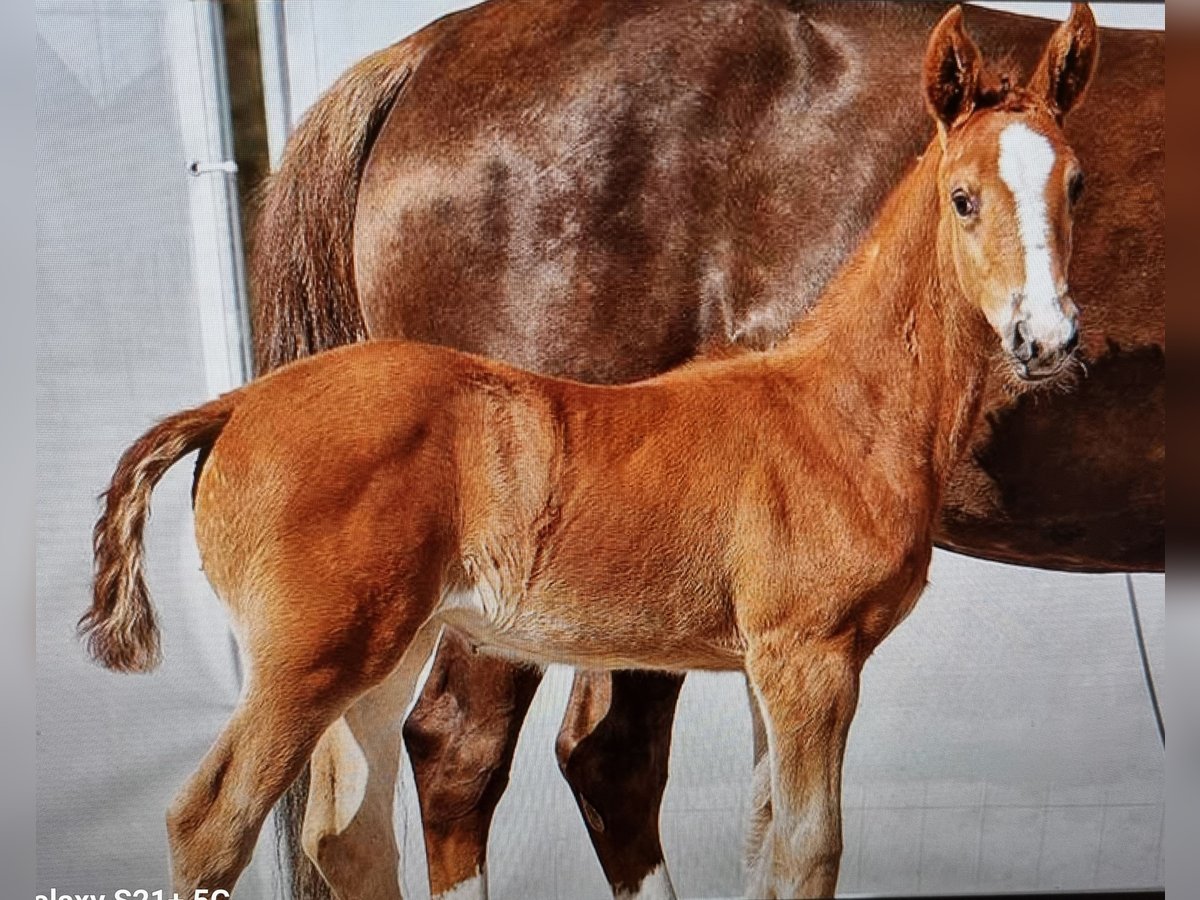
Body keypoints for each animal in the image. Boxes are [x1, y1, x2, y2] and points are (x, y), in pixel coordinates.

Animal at [84, 8, 1099, 900]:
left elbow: (767, 844)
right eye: (963, 198)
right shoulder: (808, 655)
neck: (837, 408)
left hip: (384, 650)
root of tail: (233, 405)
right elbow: (811, 850)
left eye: (1077, 186)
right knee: (210, 823)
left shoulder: (773, 666)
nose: (1045, 338)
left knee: (346, 832)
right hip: (307, 660)